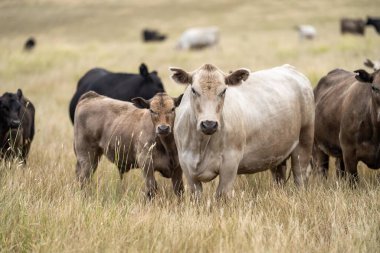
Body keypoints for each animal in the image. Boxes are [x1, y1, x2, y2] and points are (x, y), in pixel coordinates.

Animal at [171, 63, 314, 198]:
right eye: (194, 90)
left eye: (223, 91)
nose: (209, 124)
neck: (201, 144)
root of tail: (289, 68)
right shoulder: (187, 167)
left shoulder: (230, 163)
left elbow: (222, 195)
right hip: (278, 152)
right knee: (279, 177)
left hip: (304, 142)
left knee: (300, 176)